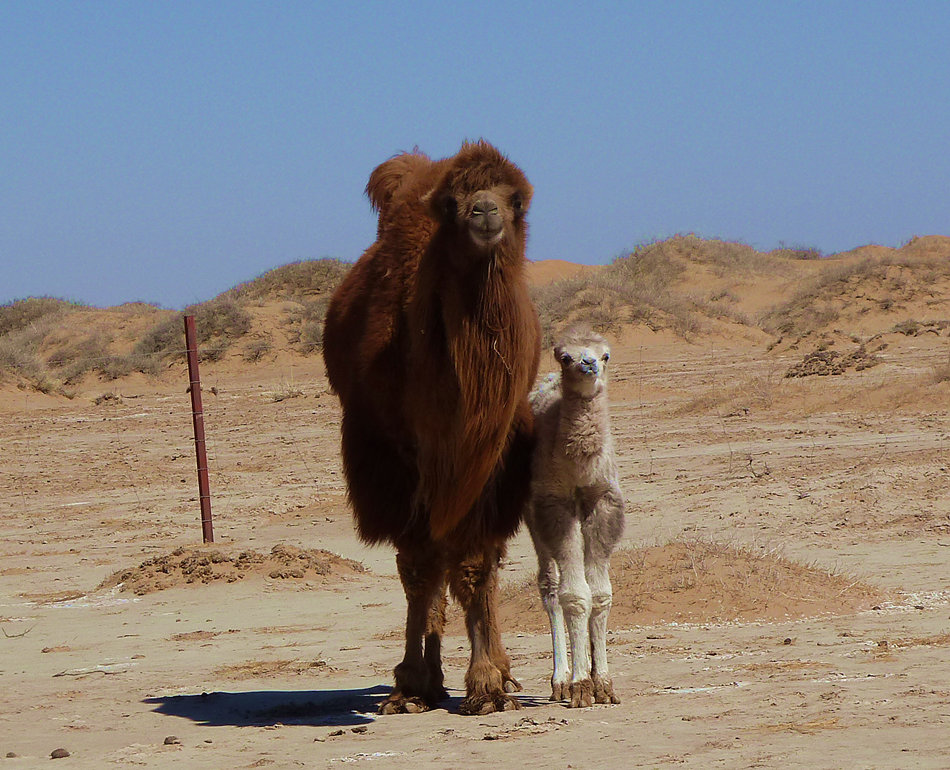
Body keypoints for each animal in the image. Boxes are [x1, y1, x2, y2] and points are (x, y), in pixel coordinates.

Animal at [322, 140, 540, 712]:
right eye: (452, 203)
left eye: (515, 200)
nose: (484, 212)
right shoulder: (399, 458)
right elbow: (418, 570)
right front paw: (411, 680)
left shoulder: (489, 456)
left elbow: (476, 563)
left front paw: (487, 683)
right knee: (431, 563)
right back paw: (430, 677)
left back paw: (498, 668)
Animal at [524, 328, 628, 704]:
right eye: (564, 356)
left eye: (606, 354)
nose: (589, 364)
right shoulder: (554, 503)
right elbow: (574, 595)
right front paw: (582, 685)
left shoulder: (603, 499)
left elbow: (600, 594)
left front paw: (604, 684)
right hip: (531, 512)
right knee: (550, 585)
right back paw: (561, 681)